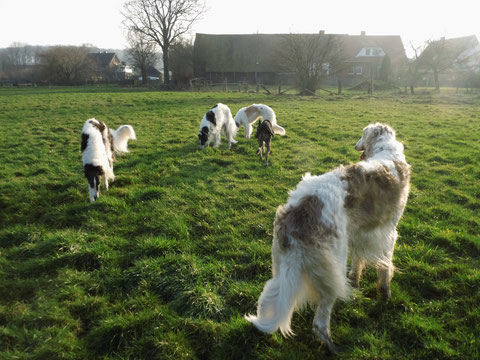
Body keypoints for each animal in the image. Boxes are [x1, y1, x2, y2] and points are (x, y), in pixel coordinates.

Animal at [246, 123, 410, 352]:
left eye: (361, 135)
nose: (355, 145)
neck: (386, 150)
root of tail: (298, 212)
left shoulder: (359, 234)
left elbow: (358, 263)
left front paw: (356, 282)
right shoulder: (389, 232)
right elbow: (385, 267)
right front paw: (385, 294)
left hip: (282, 268)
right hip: (332, 267)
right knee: (319, 322)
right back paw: (332, 347)